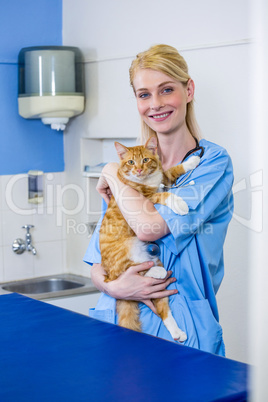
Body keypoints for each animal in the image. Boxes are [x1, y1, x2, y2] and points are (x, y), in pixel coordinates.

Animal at [99, 136, 199, 342]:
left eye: (145, 160)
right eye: (130, 162)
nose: (138, 170)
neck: (147, 180)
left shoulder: (163, 176)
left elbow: (173, 169)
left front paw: (191, 161)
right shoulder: (147, 198)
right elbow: (165, 194)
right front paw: (180, 204)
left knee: (163, 309)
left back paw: (177, 332)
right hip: (126, 248)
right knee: (128, 272)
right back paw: (157, 272)